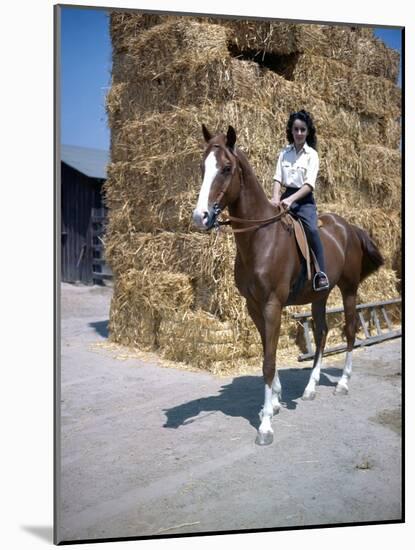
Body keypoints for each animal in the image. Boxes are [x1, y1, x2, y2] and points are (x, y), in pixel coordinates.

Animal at [193, 125, 386, 448]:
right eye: (202, 167)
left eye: (227, 168)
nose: (201, 217)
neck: (261, 238)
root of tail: (348, 227)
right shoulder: (254, 306)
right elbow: (266, 352)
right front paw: (273, 403)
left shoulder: (272, 304)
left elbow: (269, 362)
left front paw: (265, 427)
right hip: (320, 295)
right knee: (322, 333)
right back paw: (310, 387)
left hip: (348, 290)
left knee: (349, 331)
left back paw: (343, 383)